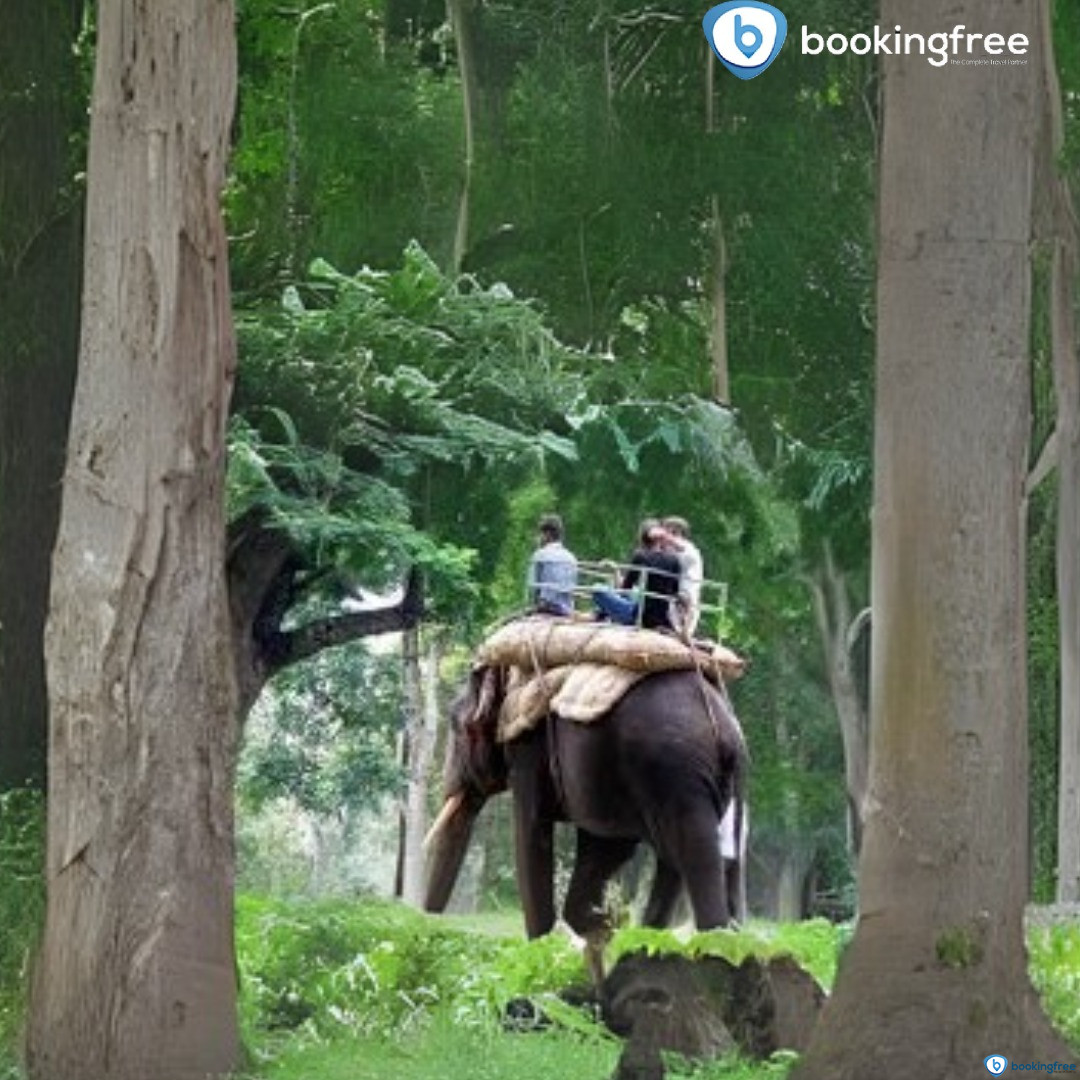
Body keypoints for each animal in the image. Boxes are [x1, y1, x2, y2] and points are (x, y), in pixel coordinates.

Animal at [423, 663, 748, 941]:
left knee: (694, 859)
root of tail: (726, 733)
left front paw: (546, 945)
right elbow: (606, 847)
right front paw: (610, 924)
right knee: (693, 865)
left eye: (456, 726)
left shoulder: (529, 748)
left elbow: (533, 833)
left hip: (674, 775)